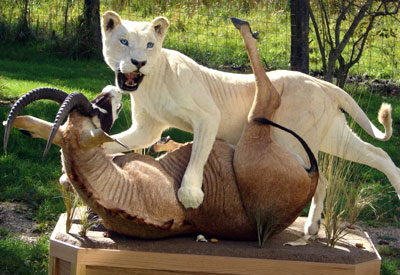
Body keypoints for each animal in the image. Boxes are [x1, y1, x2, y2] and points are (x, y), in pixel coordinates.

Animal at [101, 10, 400, 239]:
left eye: (150, 44)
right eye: (123, 41)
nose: (139, 62)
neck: (150, 83)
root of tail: (321, 82)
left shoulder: (207, 116)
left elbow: (197, 156)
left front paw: (190, 195)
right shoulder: (147, 129)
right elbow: (112, 141)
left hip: (290, 140)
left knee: (341, 169)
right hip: (331, 136)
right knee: (372, 158)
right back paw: (315, 226)